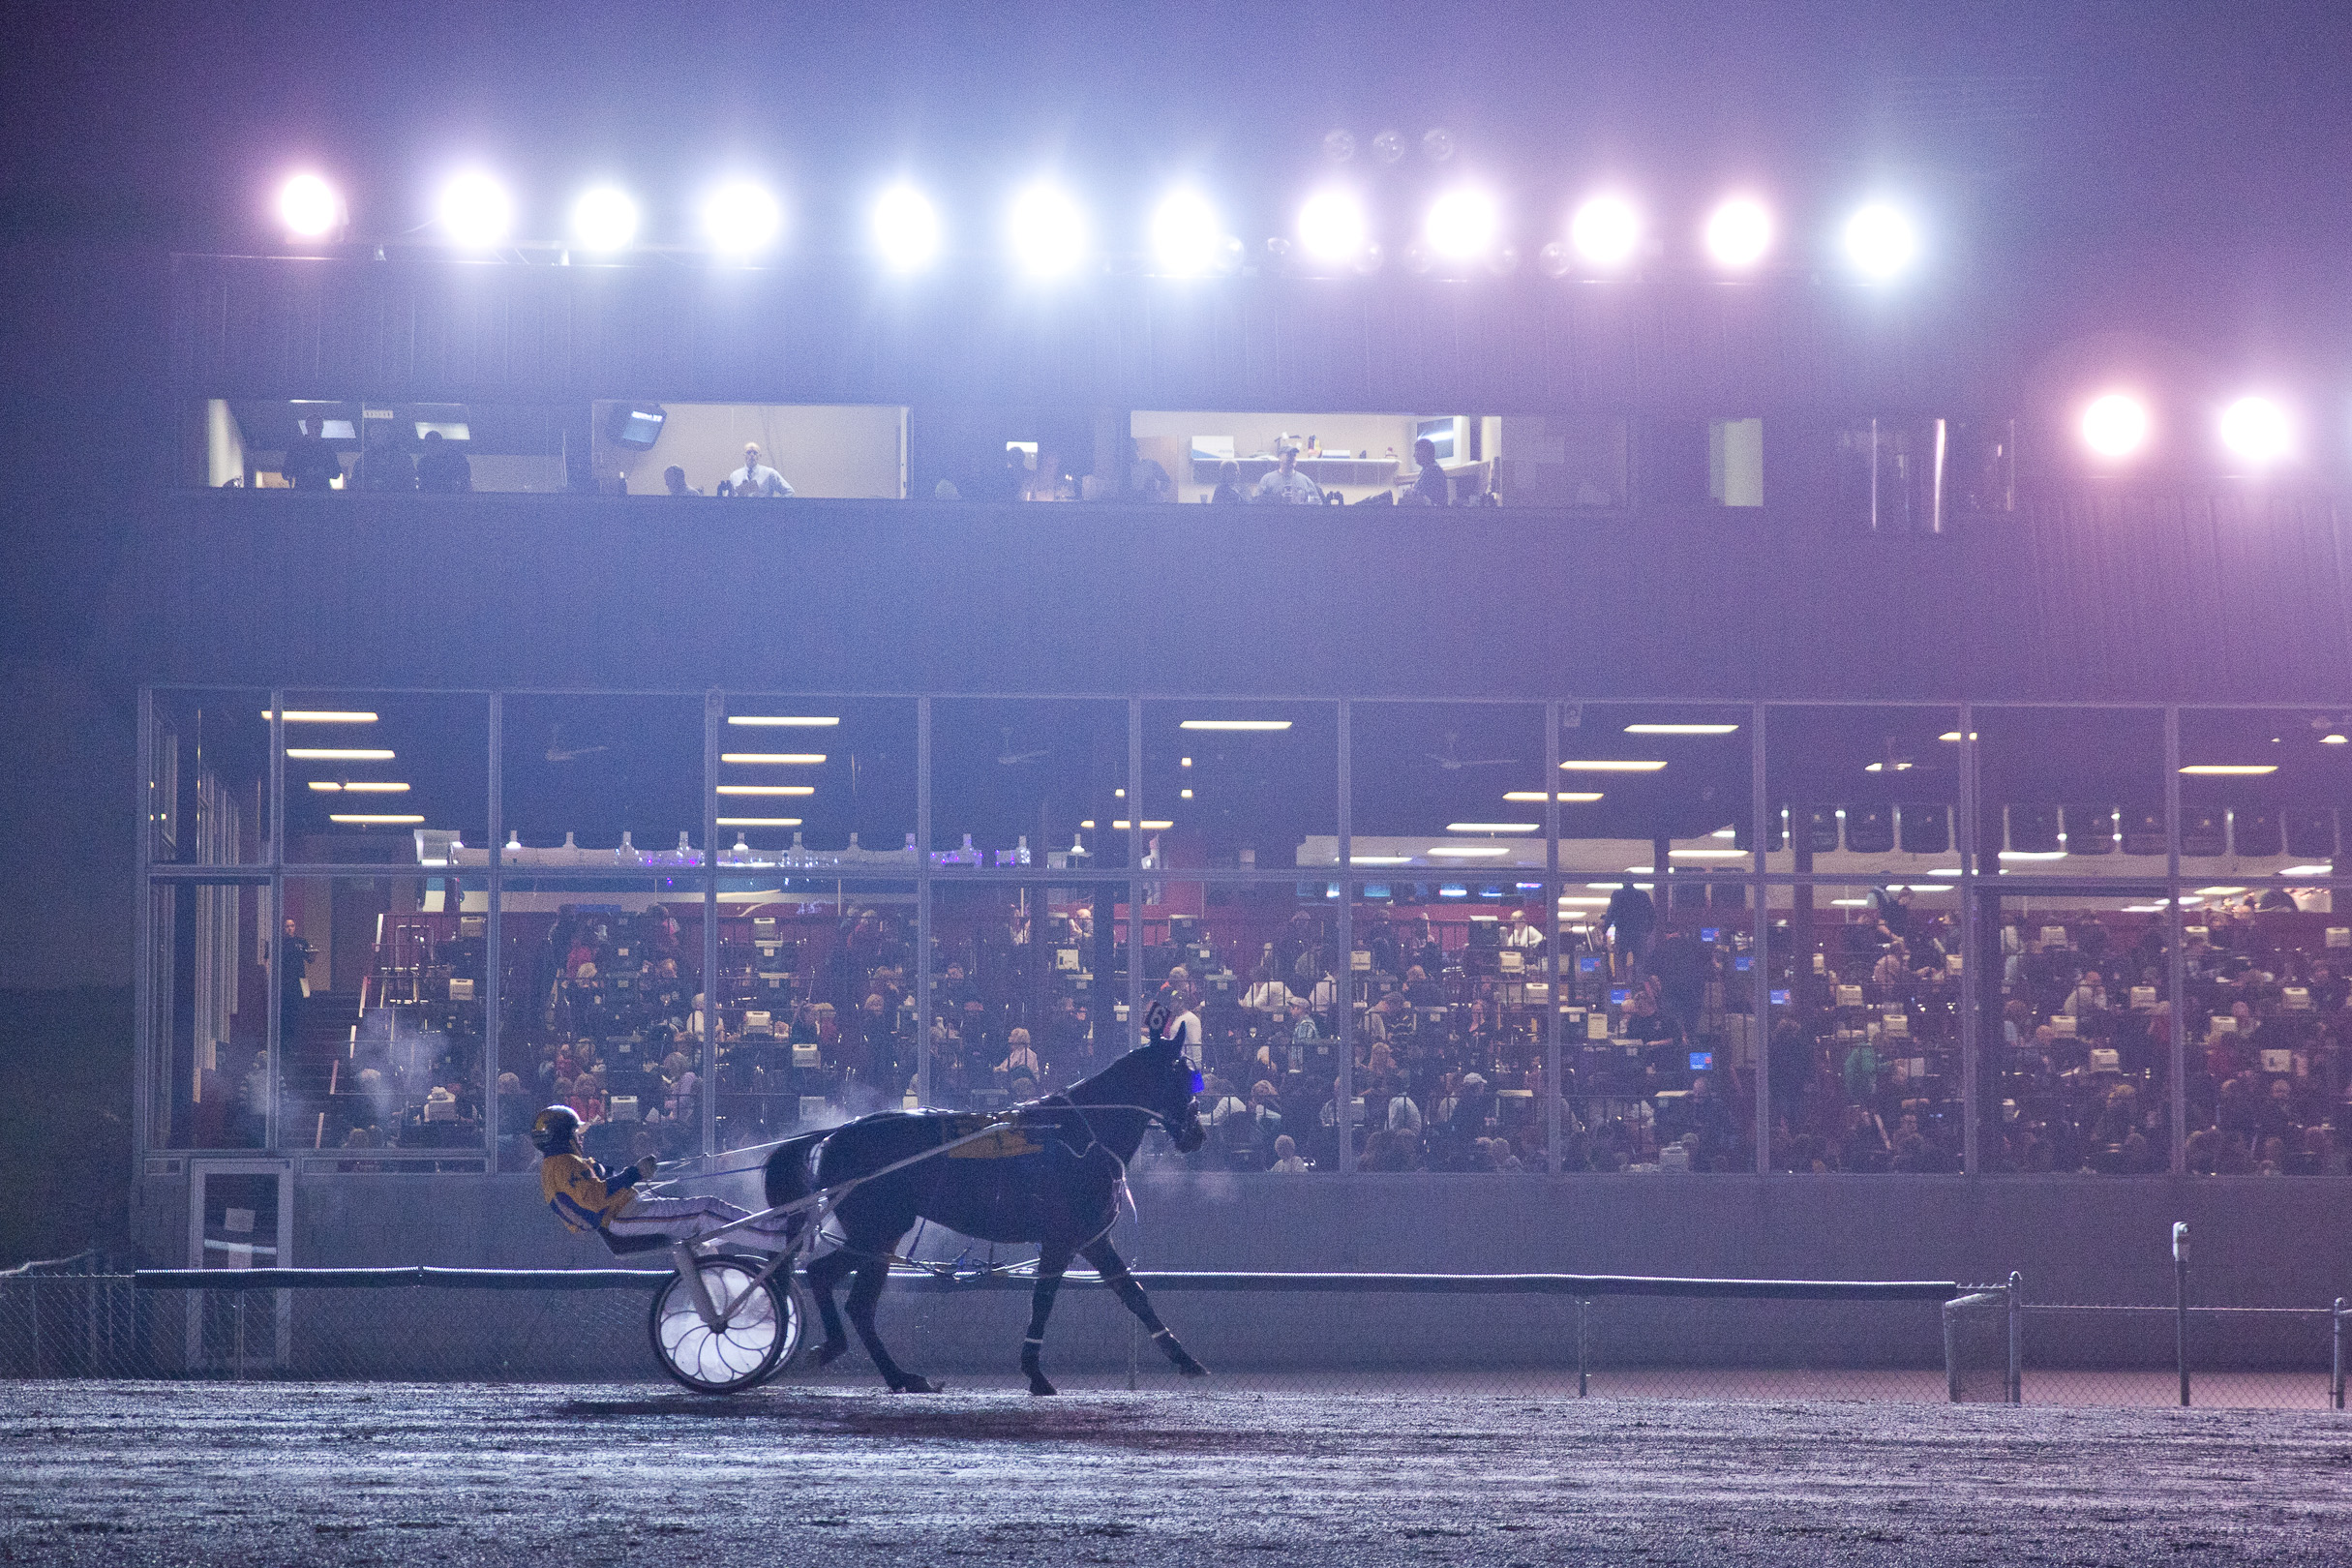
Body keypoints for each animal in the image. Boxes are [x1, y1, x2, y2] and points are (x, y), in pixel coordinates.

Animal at [767, 1020, 1213, 1401]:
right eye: (1181, 1075)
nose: (1197, 1134)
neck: (1078, 1134)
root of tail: (840, 1132)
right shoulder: (1061, 1239)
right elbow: (1043, 1301)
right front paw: (1035, 1374)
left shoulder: (1092, 1239)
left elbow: (1134, 1294)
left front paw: (1185, 1358)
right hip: (877, 1228)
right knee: (841, 1289)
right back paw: (872, 1363)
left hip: (878, 1234)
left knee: (846, 1293)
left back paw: (893, 1373)